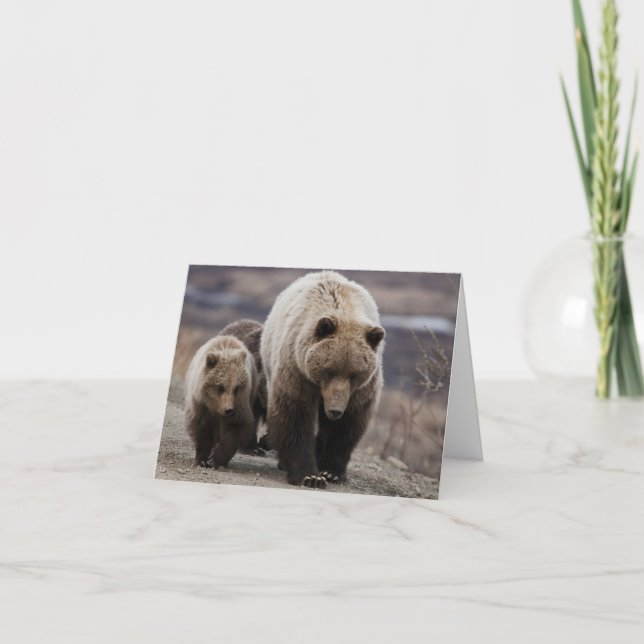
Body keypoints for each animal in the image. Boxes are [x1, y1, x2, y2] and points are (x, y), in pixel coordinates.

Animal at [184, 333, 258, 468]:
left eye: (237, 388)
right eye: (220, 387)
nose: (228, 410)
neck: (215, 406)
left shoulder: (240, 403)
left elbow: (237, 427)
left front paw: (215, 458)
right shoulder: (200, 404)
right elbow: (201, 429)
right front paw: (202, 459)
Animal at [260, 270, 385, 488]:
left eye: (354, 375)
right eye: (329, 371)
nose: (335, 410)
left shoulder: (361, 390)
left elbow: (347, 425)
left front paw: (331, 471)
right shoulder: (297, 370)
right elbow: (294, 416)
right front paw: (310, 476)